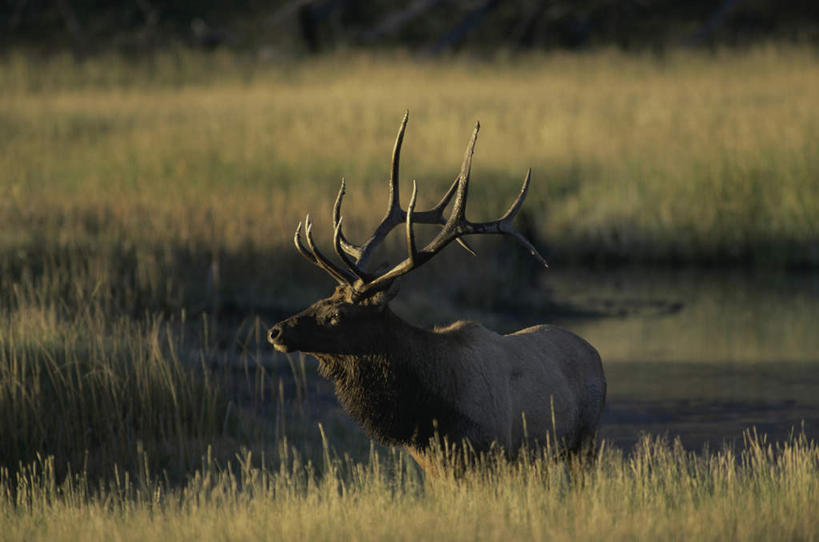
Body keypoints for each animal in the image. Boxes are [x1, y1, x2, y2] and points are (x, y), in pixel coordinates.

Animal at [266, 115, 604, 472]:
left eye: (336, 315)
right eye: (321, 299)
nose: (275, 331)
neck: (430, 414)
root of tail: (594, 353)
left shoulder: (493, 452)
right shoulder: (434, 467)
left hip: (586, 441)